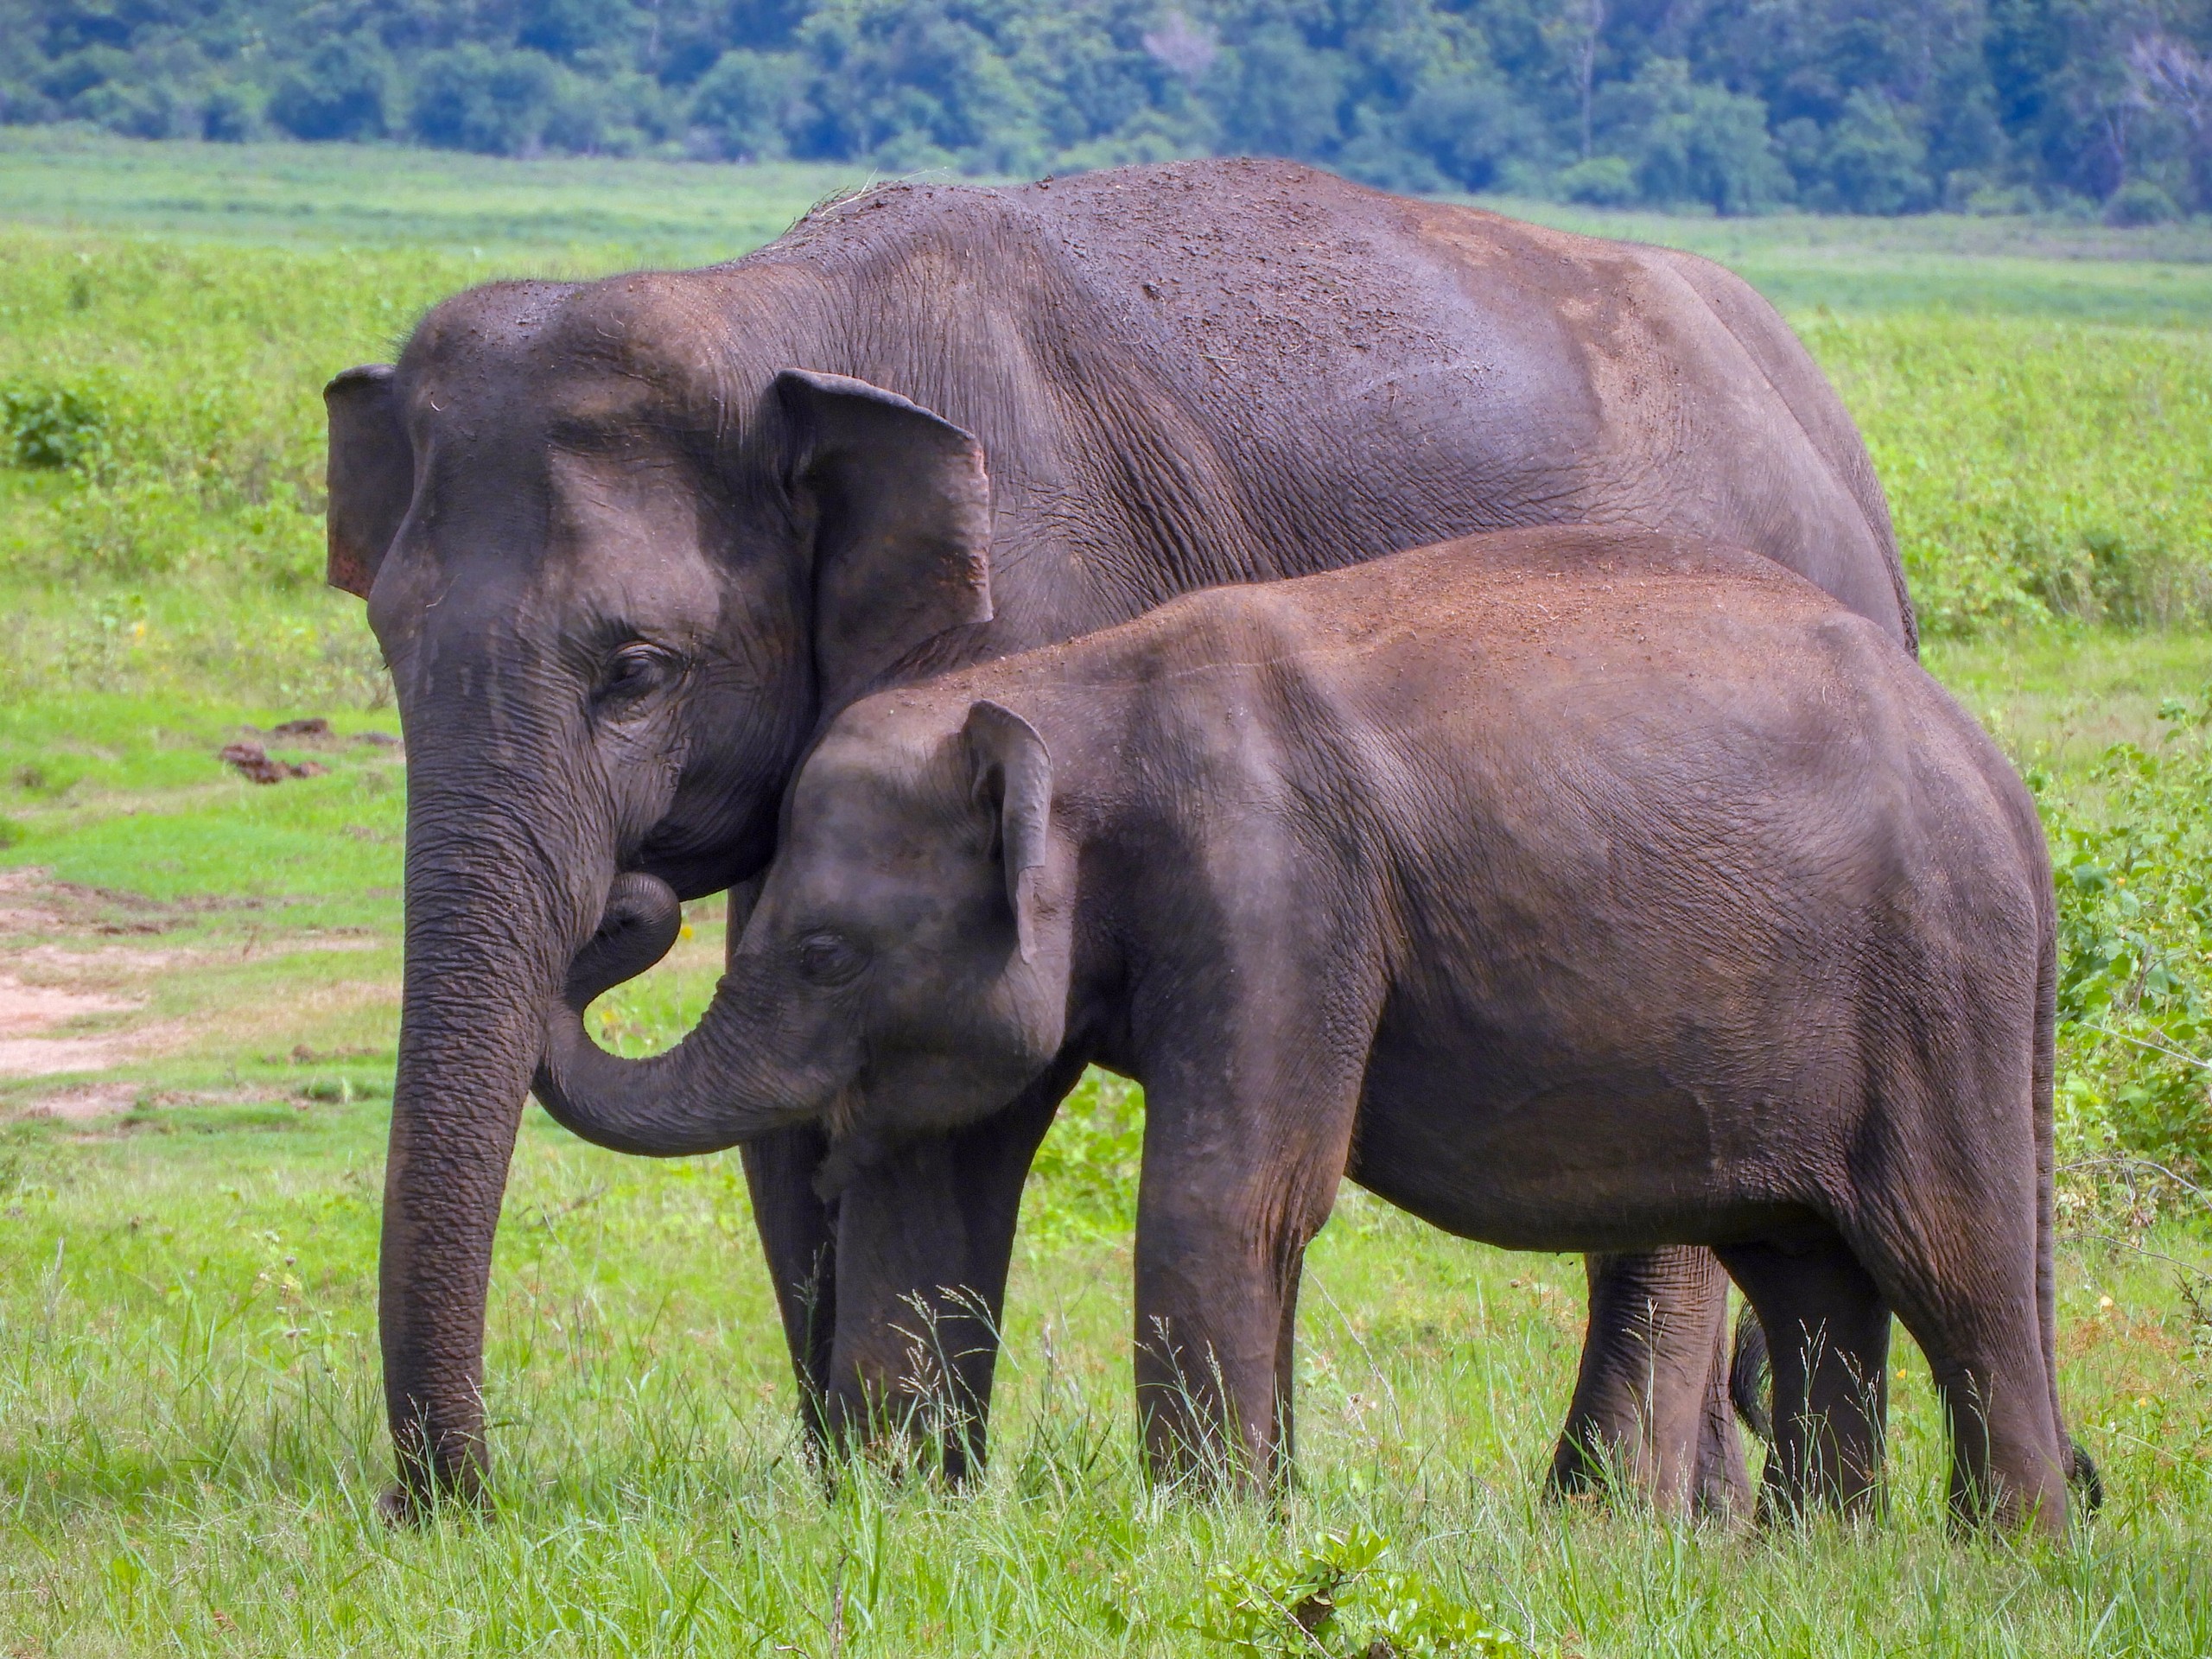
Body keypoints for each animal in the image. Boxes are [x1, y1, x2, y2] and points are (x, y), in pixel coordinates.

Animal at [332, 156, 1920, 1522]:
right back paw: (1702, 1520)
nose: (458, 1505)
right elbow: (799, 1123)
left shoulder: (1023, 617)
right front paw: (867, 1492)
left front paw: (912, 1499)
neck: (767, 307)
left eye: (638, 670)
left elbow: (964, 1084)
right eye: (389, 644)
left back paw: (1599, 1517)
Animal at [543, 526, 2079, 1539]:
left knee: (1949, 1259)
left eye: (822, 955)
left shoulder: (1275, 886)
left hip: (1938, 979)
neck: (1075, 690)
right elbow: (940, 1189)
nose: (631, 899)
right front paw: (910, 1513)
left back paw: (2001, 1559)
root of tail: (2005, 787)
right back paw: (1825, 1553)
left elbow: (1238, 1194)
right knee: (1811, 1275)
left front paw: (1205, 1531)